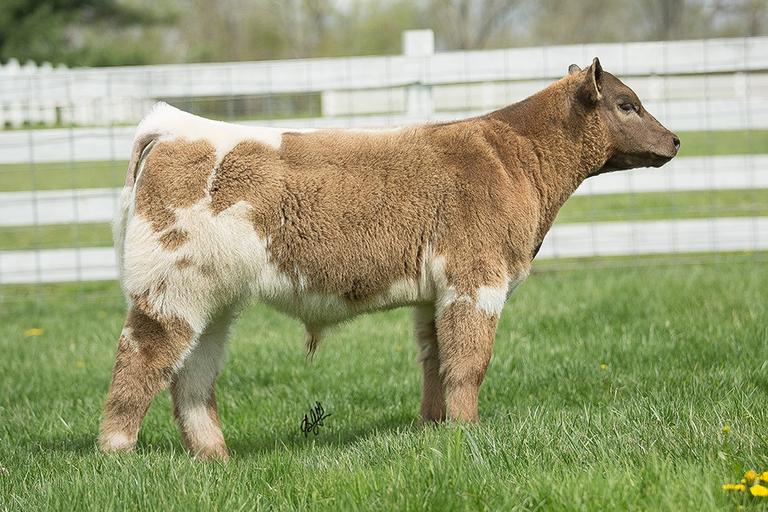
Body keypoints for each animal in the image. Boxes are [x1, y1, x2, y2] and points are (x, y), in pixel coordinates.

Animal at [100, 58, 680, 458]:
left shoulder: (435, 293)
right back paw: (117, 454)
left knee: (193, 374)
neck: (512, 158)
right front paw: (468, 434)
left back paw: (215, 458)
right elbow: (468, 365)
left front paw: (434, 429)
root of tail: (174, 128)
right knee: (142, 358)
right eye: (627, 104)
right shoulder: (476, 280)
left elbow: (435, 361)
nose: (675, 140)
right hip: (171, 286)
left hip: (213, 298)